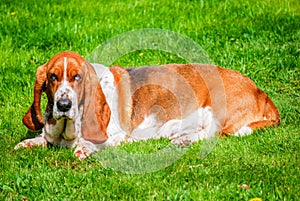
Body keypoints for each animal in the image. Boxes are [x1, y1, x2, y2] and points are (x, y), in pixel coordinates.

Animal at [14, 51, 282, 159]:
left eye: (77, 77)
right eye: (53, 77)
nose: (63, 104)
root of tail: (262, 93)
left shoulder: (117, 136)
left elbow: (92, 144)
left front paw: (84, 149)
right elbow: (40, 139)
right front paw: (26, 143)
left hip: (216, 109)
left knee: (213, 135)